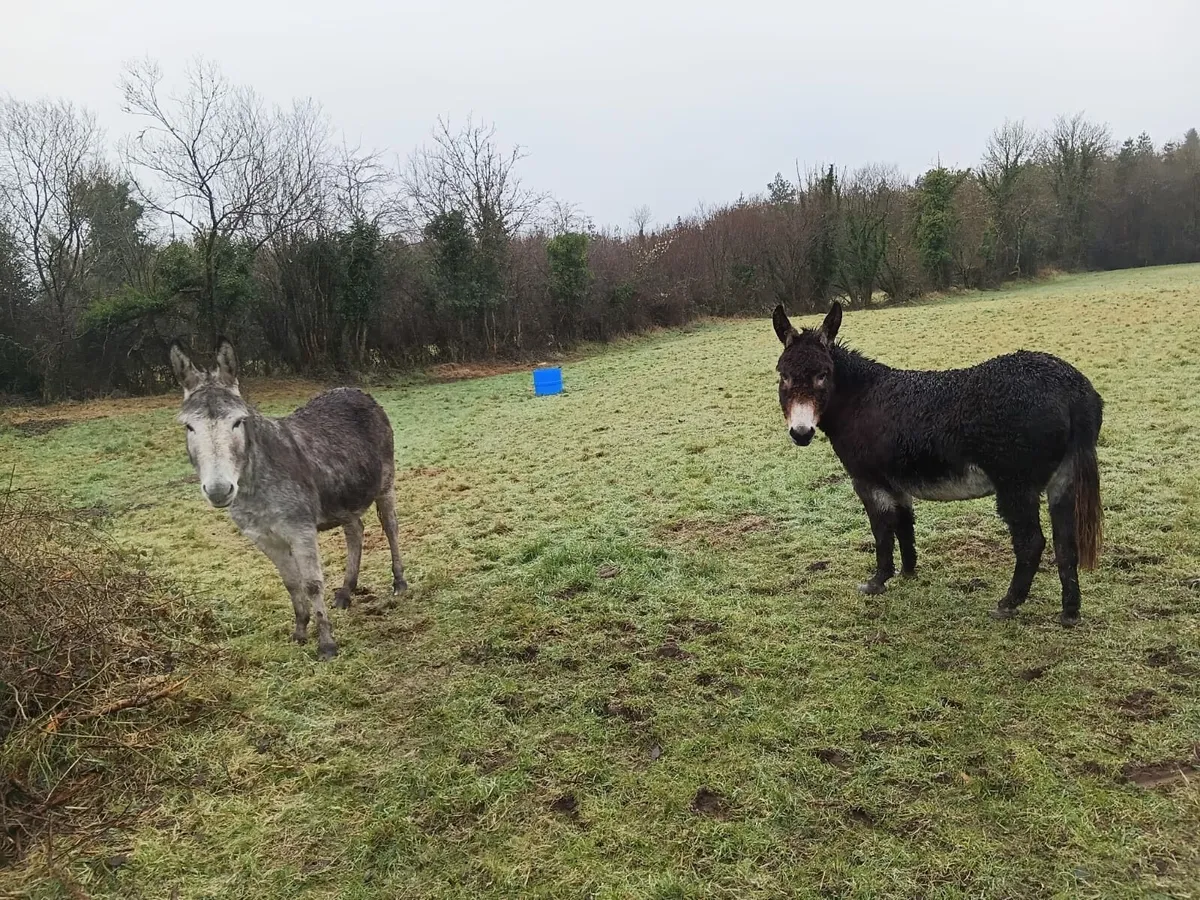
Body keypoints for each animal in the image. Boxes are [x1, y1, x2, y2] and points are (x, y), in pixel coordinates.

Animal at [169, 339, 407, 659]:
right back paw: (346, 592)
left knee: (390, 527)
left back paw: (399, 582)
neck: (255, 485)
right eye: (189, 427)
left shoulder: (300, 529)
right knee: (355, 531)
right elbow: (292, 584)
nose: (219, 490)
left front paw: (327, 645)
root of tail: (355, 390)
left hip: (385, 483)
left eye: (237, 422)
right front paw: (300, 631)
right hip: (344, 497)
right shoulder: (263, 538)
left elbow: (312, 584)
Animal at [772, 302, 1103, 626]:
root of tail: (1073, 390)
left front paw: (878, 581)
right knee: (1066, 542)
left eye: (823, 374)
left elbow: (881, 530)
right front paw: (908, 572)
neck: (859, 400)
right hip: (1063, 478)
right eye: (783, 375)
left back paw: (1009, 603)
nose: (801, 433)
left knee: (1032, 542)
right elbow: (904, 524)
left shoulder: (867, 479)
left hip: (1016, 484)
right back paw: (1070, 612)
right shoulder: (897, 480)